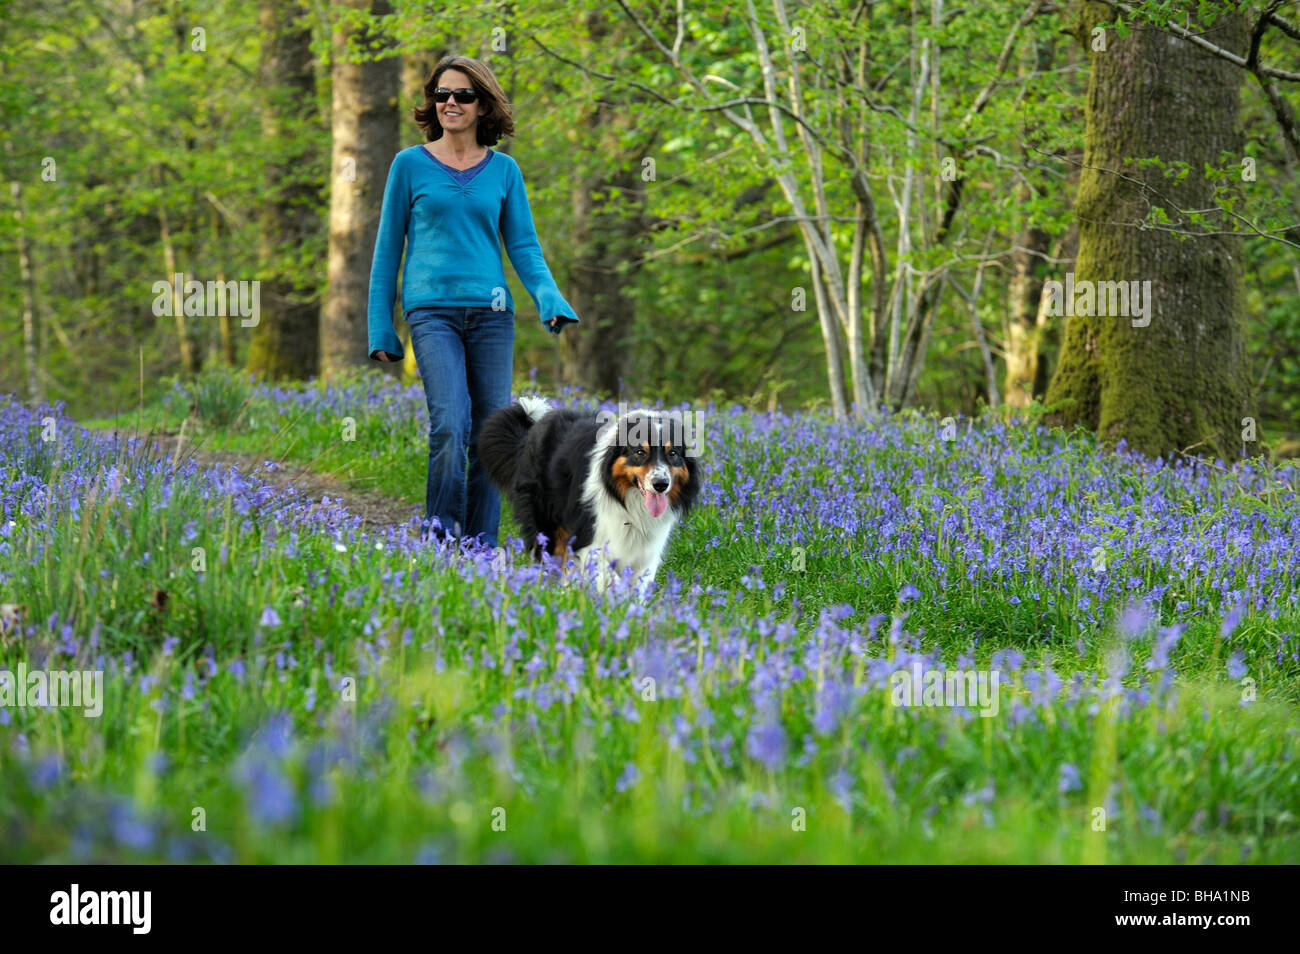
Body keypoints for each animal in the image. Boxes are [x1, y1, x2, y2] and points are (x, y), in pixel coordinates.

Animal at [478, 397, 702, 597]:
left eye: (673, 453)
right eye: (640, 452)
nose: (661, 484)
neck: (628, 502)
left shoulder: (647, 552)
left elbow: (638, 586)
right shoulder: (591, 540)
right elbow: (610, 576)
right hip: (547, 523)